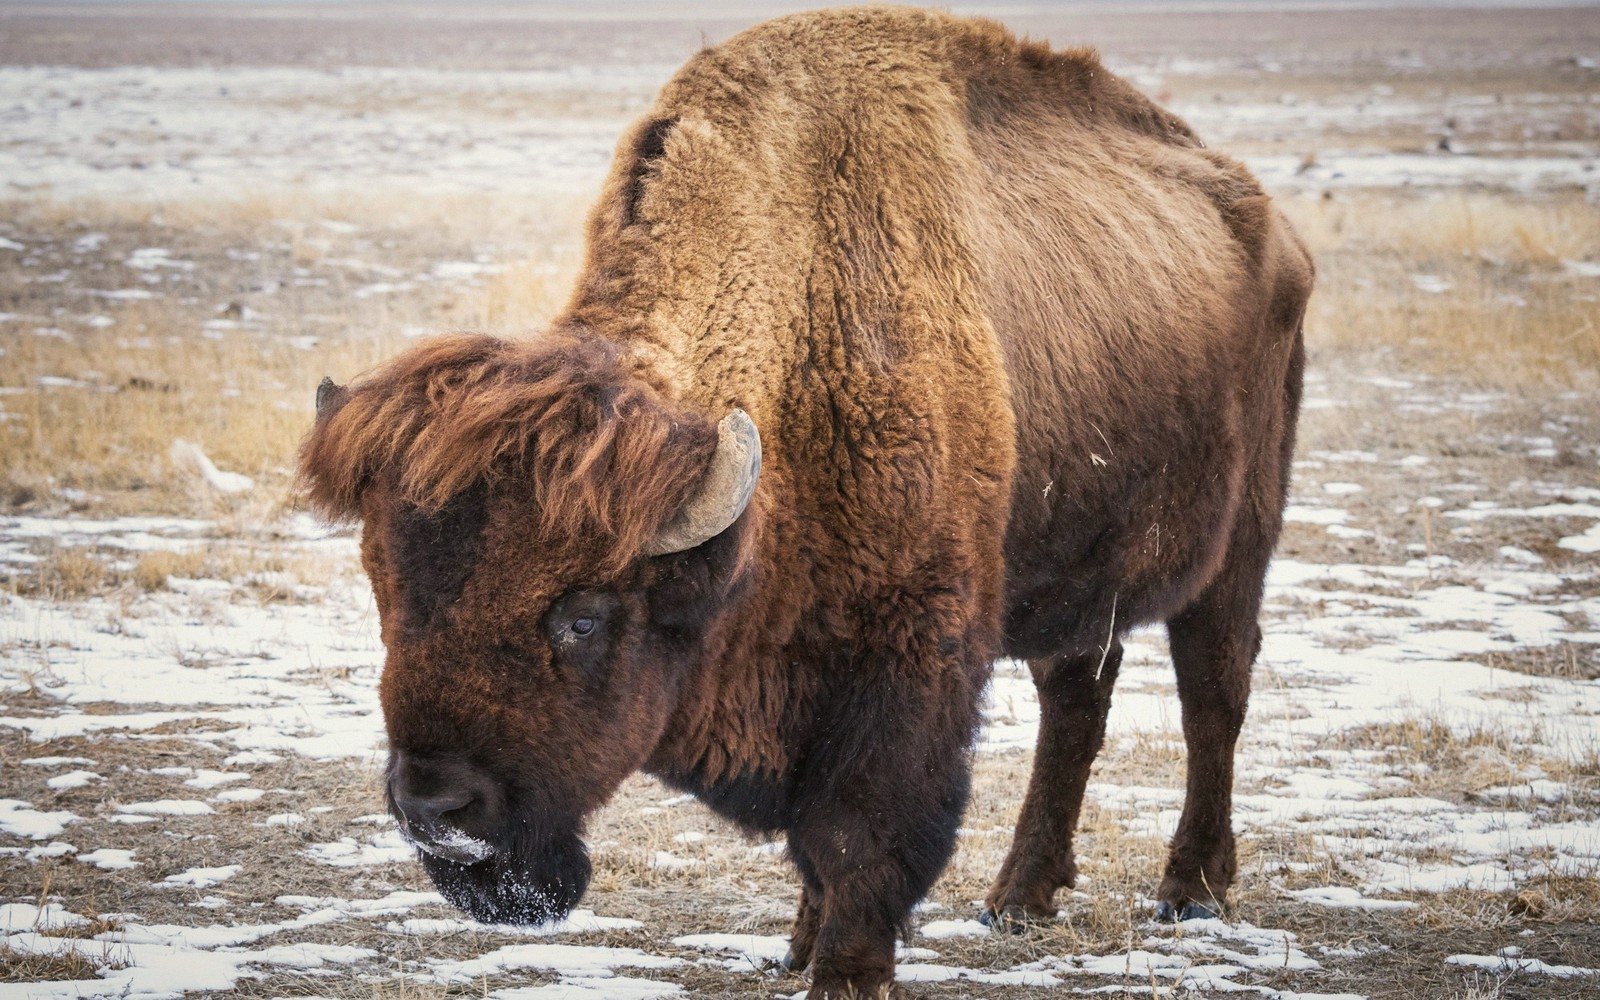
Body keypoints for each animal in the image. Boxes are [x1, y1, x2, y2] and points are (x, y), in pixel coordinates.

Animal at [299, 8, 1312, 997]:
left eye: (583, 617)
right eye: (387, 595)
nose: (436, 807)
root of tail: (1275, 227)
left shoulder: (904, 666)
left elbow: (858, 842)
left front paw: (843, 973)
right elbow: (812, 850)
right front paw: (794, 945)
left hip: (1239, 543)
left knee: (1213, 692)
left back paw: (1191, 892)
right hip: (1078, 573)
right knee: (1077, 701)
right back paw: (1018, 900)